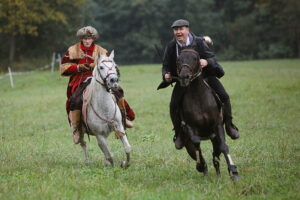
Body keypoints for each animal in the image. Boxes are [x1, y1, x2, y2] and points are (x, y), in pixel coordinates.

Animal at [173, 48, 239, 181]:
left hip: (214, 135)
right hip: (187, 140)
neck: (199, 97)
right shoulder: (190, 127)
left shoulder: (217, 125)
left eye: (195, 59)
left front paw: (233, 171)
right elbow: (197, 144)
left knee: (216, 151)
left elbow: (224, 146)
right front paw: (201, 165)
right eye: (178, 60)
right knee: (196, 150)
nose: (184, 77)